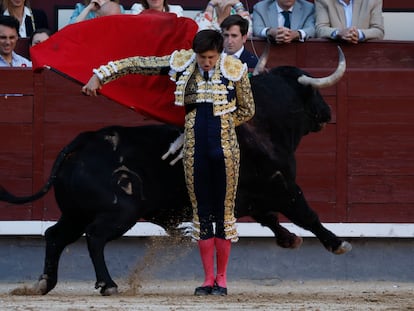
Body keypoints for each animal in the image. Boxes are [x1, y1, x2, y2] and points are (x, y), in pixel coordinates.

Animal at [0, 49, 350, 298]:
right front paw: (337, 244)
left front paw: (289, 240)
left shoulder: (251, 197)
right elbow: (307, 214)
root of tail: (83, 141)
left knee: (54, 235)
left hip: (75, 211)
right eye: (315, 94)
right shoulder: (282, 185)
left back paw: (44, 283)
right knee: (95, 237)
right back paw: (108, 284)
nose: (328, 113)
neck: (263, 123)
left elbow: (270, 219)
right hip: (120, 211)